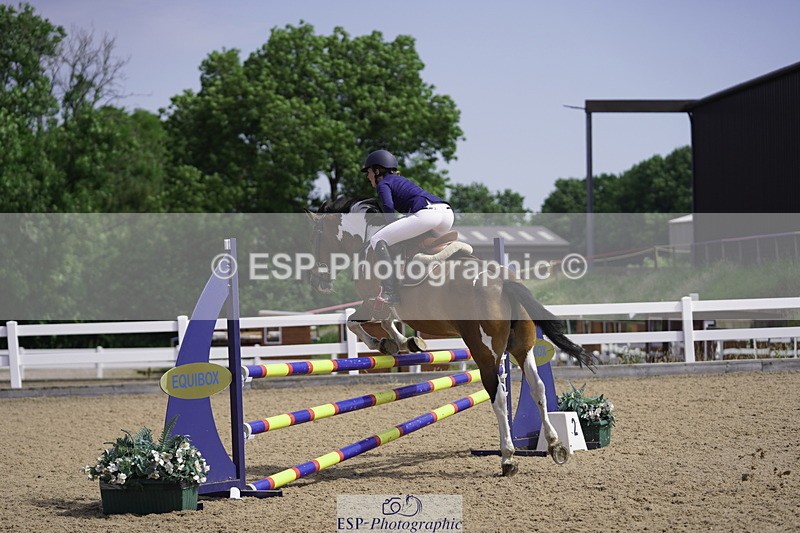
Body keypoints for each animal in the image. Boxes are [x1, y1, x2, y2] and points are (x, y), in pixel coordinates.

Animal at [305, 197, 595, 475]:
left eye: (316, 239)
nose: (318, 281)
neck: (368, 238)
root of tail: (502, 281)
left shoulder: (373, 302)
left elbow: (358, 321)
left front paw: (387, 343)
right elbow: (384, 321)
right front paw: (406, 342)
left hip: (484, 352)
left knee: (499, 395)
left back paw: (508, 458)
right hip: (522, 348)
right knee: (538, 388)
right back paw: (555, 445)